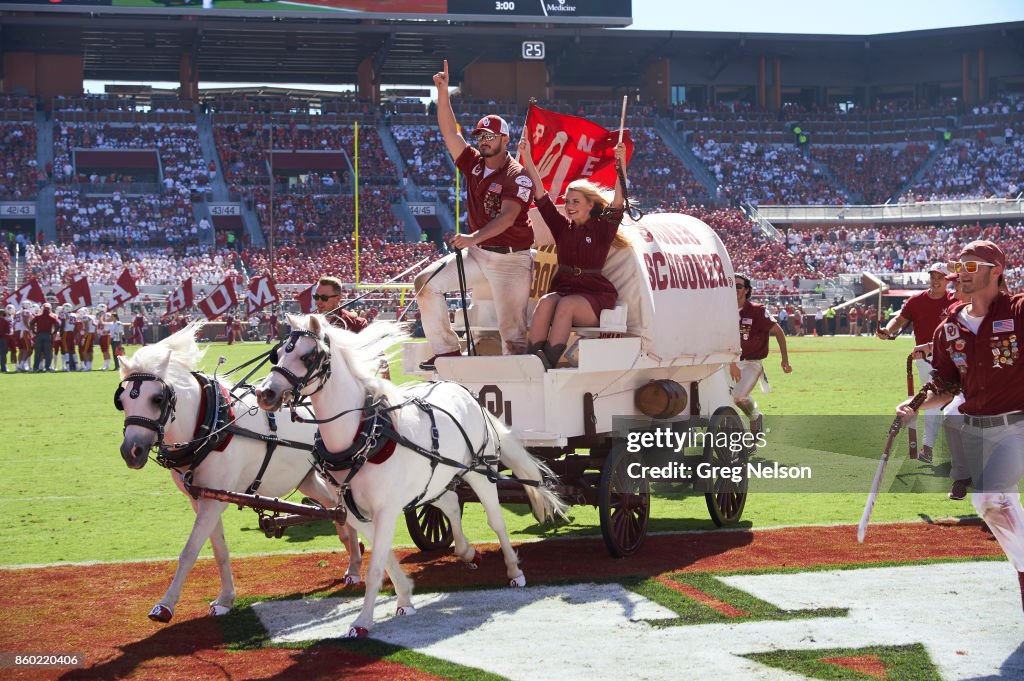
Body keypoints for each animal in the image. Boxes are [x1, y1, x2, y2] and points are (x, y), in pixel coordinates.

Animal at [117, 321, 364, 622]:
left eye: (157, 398)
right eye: (122, 401)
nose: (131, 451)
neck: (212, 424)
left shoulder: (213, 500)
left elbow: (189, 551)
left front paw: (164, 605)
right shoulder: (203, 497)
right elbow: (219, 549)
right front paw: (225, 599)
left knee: (344, 511)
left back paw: (355, 564)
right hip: (305, 478)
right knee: (336, 511)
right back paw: (353, 554)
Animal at [251, 315, 565, 639]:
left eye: (307, 356)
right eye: (278, 353)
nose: (265, 393)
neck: (364, 435)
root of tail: (465, 391)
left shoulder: (386, 510)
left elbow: (376, 567)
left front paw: (362, 620)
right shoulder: (353, 511)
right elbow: (385, 557)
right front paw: (404, 596)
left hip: (479, 471)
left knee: (496, 521)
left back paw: (514, 570)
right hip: (433, 479)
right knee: (451, 504)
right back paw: (467, 552)